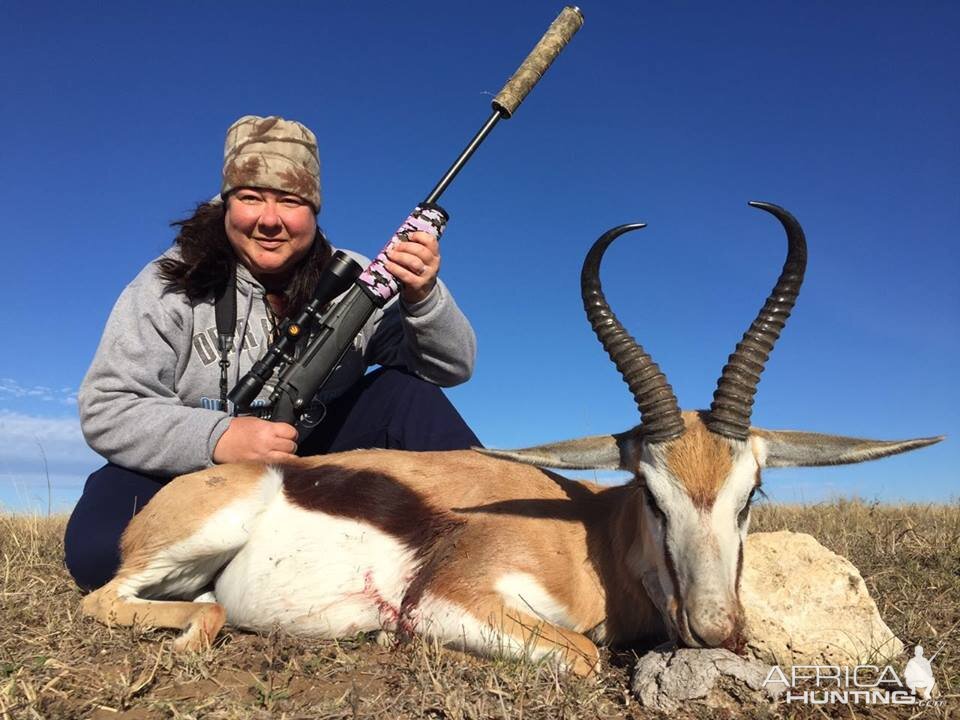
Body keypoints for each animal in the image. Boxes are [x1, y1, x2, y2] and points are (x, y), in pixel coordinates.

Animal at [80, 201, 936, 676]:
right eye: (651, 496)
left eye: (751, 493)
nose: (715, 630)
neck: (587, 537)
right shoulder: (453, 599)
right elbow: (585, 657)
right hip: (192, 544)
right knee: (116, 602)